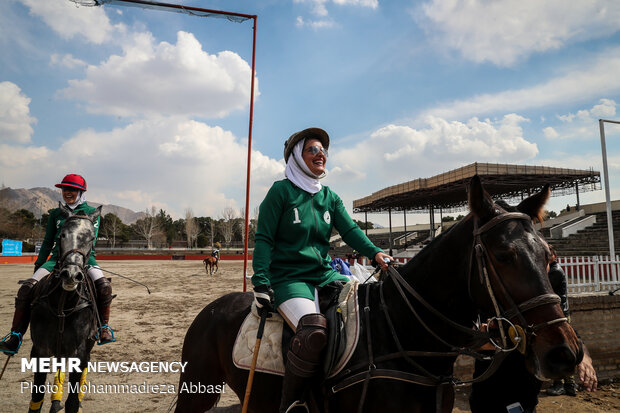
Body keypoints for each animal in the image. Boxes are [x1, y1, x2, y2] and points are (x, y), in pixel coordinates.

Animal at [174, 177, 580, 412]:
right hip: (198, 389)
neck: (401, 335)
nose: (565, 353)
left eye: (549, 256)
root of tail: (212, 308)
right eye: (503, 255)